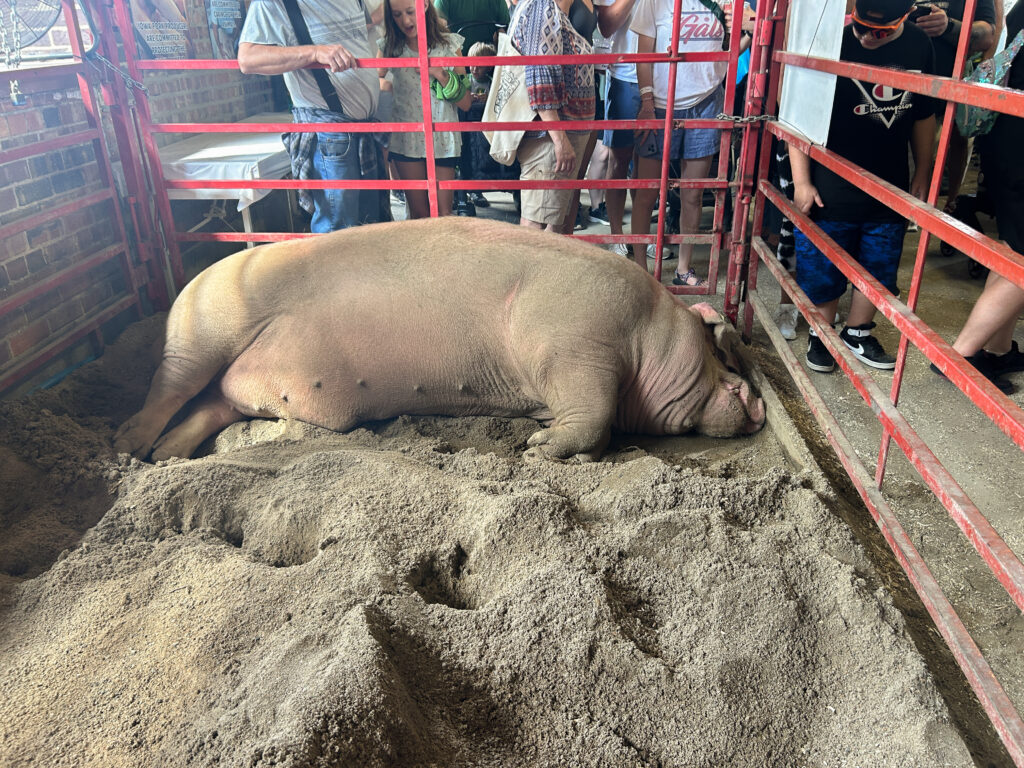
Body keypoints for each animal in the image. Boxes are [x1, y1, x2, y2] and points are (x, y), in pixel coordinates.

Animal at [116, 217, 765, 462]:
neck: (648, 328)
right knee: (169, 386)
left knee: (213, 403)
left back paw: (166, 457)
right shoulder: (575, 346)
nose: (758, 401)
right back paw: (129, 447)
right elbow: (592, 414)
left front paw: (539, 440)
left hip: (236, 379)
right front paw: (537, 448)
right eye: (717, 350)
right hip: (201, 335)